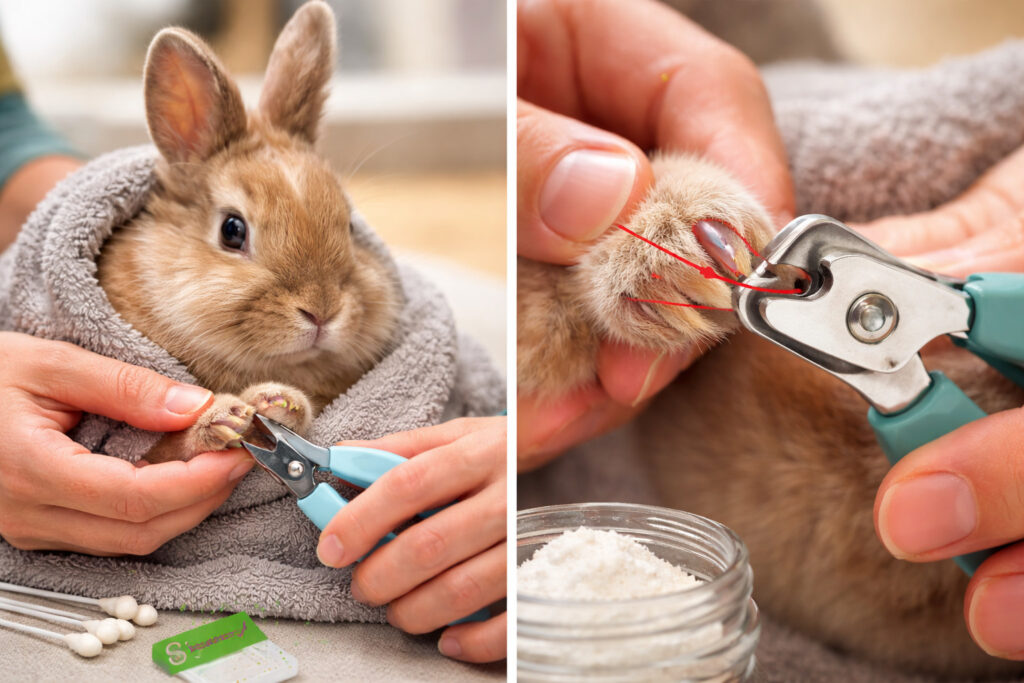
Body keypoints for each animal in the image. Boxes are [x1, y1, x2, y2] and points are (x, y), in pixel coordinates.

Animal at [97, 1, 401, 463]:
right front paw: (222, 418)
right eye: (232, 230)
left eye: (349, 225)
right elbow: (163, 448)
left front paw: (282, 403)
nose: (322, 311)